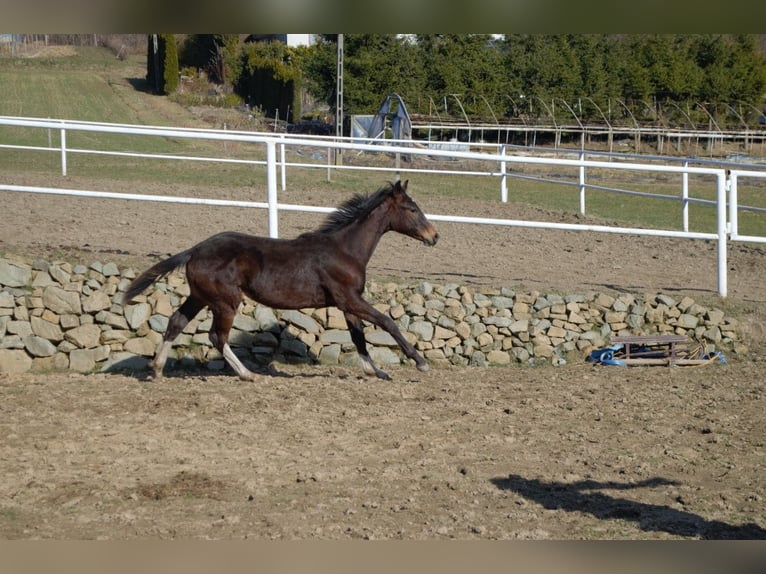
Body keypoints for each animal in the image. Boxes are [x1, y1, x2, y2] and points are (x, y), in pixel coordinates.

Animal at [121, 180, 439, 381]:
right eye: (412, 209)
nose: (434, 236)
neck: (345, 250)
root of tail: (194, 250)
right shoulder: (349, 298)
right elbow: (387, 322)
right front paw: (421, 363)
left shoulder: (347, 304)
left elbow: (358, 336)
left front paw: (376, 371)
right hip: (226, 301)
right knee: (216, 336)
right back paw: (248, 374)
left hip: (200, 296)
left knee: (176, 322)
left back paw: (157, 369)